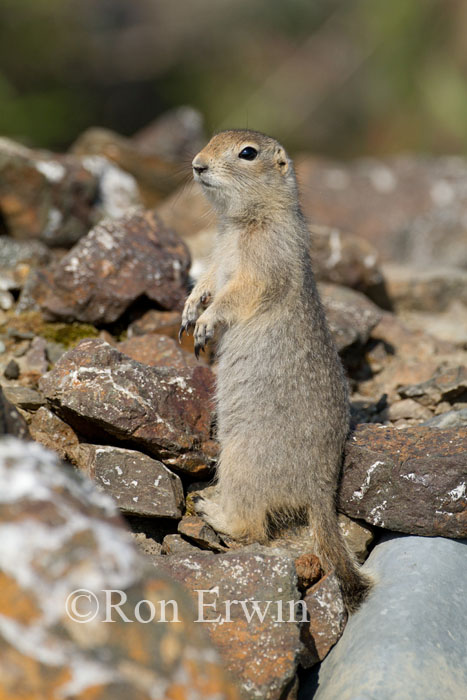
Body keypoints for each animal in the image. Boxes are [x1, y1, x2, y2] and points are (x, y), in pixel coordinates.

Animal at [179, 129, 372, 608]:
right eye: (211, 138)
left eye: (247, 153)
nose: (196, 164)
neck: (242, 223)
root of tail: (320, 493)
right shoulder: (218, 253)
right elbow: (207, 278)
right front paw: (190, 310)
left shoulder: (264, 261)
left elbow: (239, 291)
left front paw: (206, 323)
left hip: (241, 460)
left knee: (253, 526)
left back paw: (211, 508)